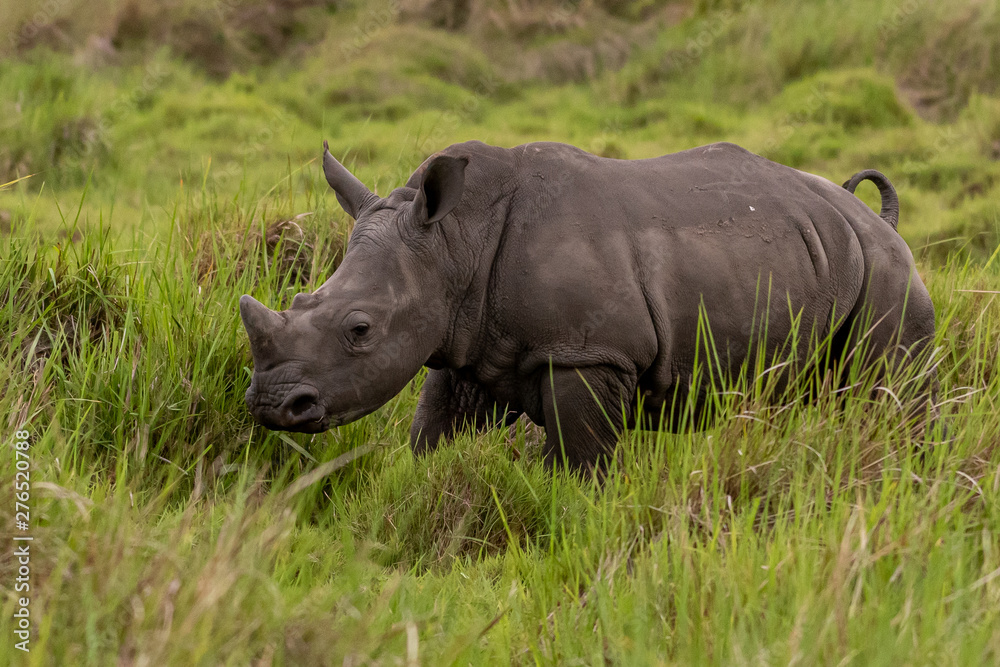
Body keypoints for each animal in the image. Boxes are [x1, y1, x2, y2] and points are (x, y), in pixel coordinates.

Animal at [240, 140, 938, 469]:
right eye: (298, 297)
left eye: (360, 329)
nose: (274, 405)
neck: (455, 244)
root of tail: (874, 220)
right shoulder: (465, 343)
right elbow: (431, 437)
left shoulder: (585, 352)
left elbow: (579, 463)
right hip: (818, 253)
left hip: (888, 273)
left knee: (888, 392)